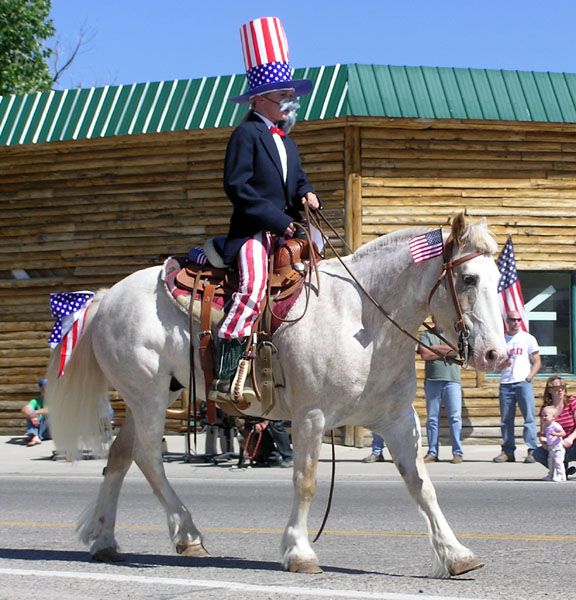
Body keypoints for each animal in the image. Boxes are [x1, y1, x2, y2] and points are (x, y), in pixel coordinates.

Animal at [44, 213, 504, 580]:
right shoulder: (311, 417)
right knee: (147, 457)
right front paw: (299, 552)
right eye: (468, 279)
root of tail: (107, 298)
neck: (363, 320)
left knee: (120, 457)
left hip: (149, 397)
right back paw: (187, 533)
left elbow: (422, 485)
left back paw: (105, 538)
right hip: (148, 396)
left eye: (500, 281)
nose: (495, 354)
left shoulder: (398, 420)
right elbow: (306, 481)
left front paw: (455, 554)